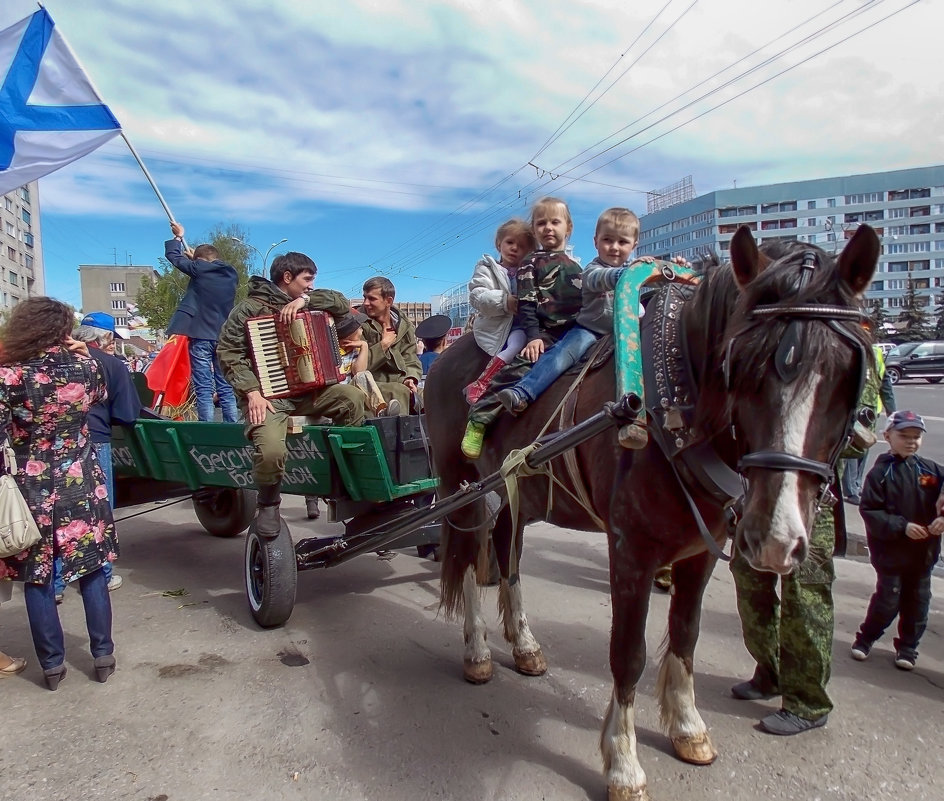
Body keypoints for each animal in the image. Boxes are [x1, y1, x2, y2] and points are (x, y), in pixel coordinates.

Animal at [424, 223, 880, 800]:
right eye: (741, 366)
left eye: (847, 374)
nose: (774, 537)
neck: (672, 407)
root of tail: (449, 355)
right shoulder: (631, 552)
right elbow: (629, 654)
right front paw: (623, 762)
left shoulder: (700, 552)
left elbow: (685, 635)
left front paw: (688, 727)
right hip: (459, 488)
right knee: (467, 564)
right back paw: (478, 651)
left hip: (513, 491)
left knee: (508, 561)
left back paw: (523, 643)